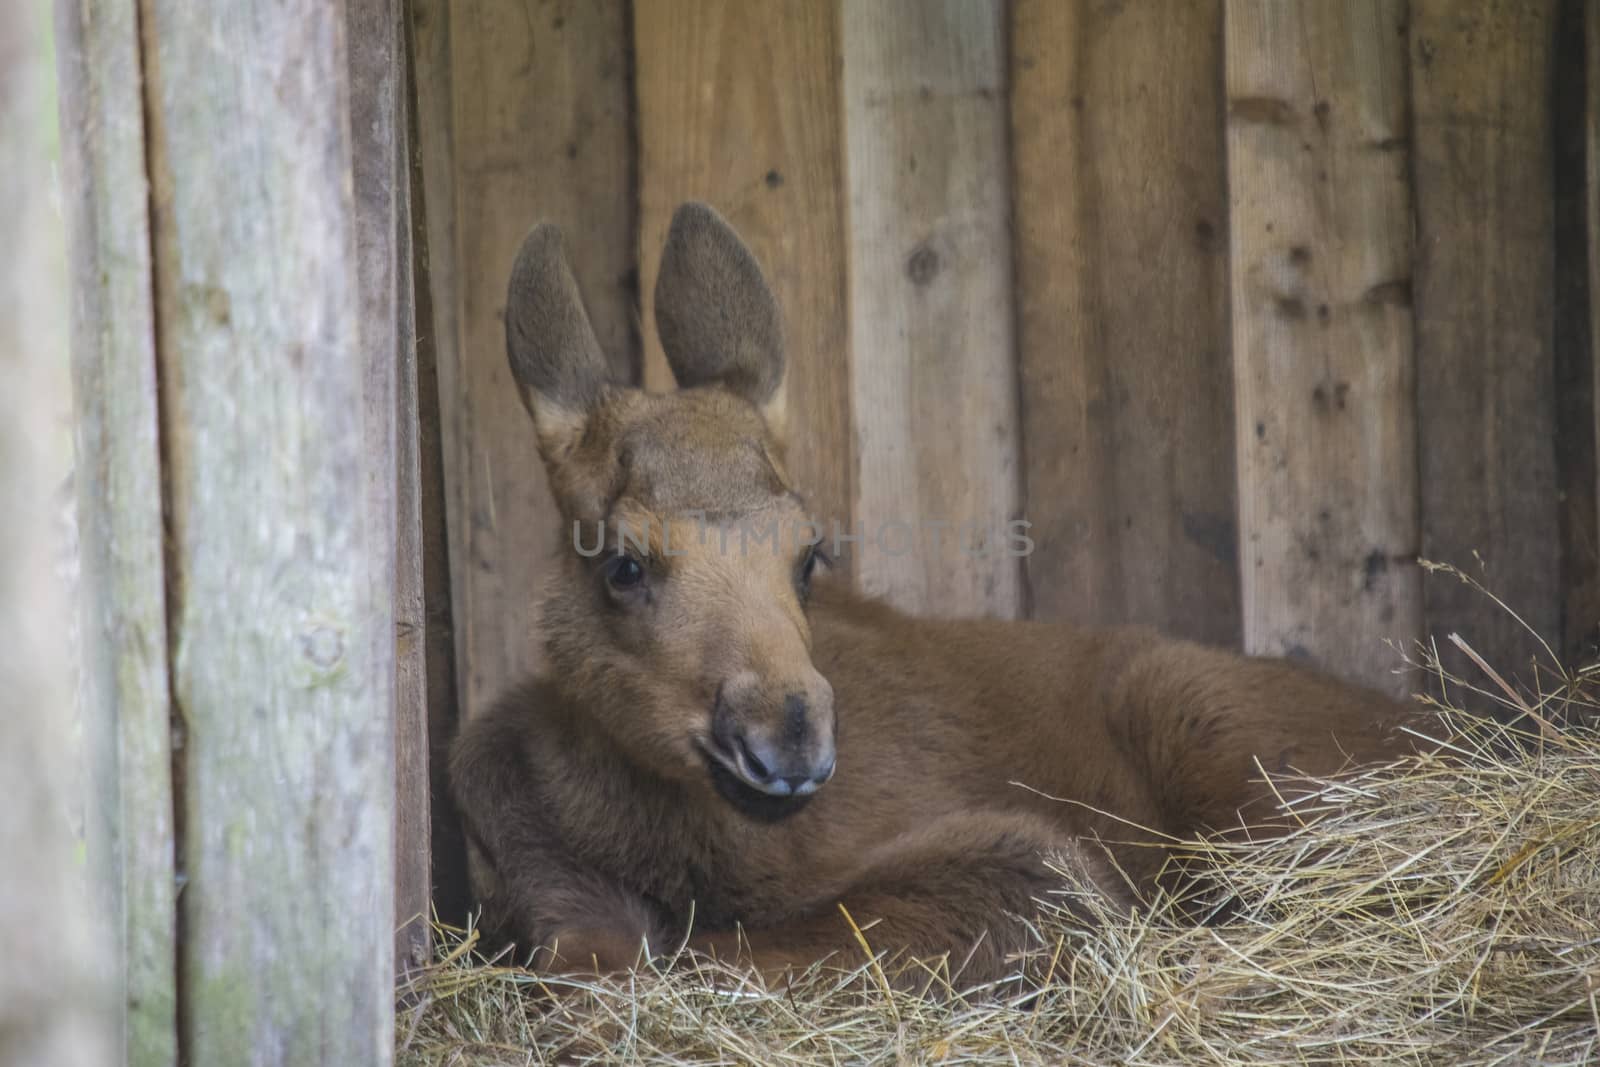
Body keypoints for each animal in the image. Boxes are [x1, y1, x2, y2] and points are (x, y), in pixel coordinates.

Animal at [451, 202, 1427, 991]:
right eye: (622, 564)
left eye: (808, 554)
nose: (786, 738)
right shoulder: (541, 874)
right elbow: (597, 952)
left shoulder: (1015, 851)